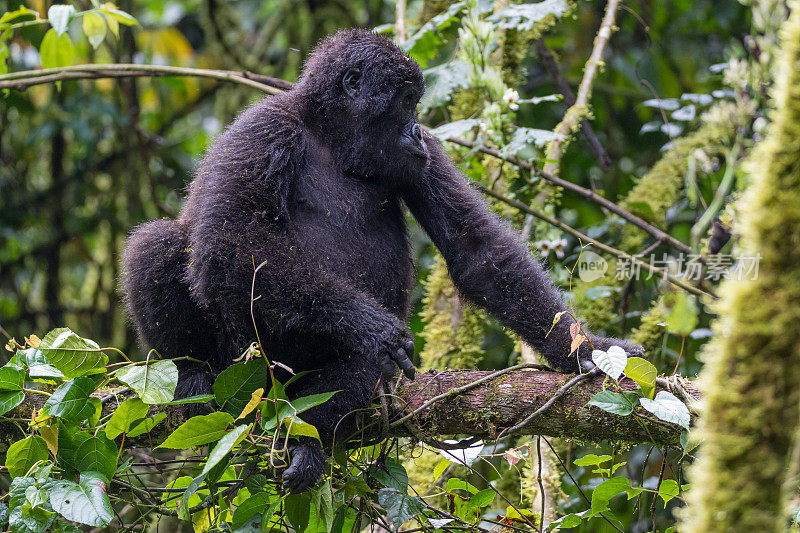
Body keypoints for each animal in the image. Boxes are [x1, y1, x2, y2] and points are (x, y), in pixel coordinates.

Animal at [122, 29, 640, 492]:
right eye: (407, 101)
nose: (416, 131)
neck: (330, 136)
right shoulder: (262, 131)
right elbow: (227, 244)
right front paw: (374, 328)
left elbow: (478, 251)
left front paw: (583, 349)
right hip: (244, 364)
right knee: (160, 242)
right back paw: (193, 372)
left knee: (358, 370)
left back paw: (311, 441)